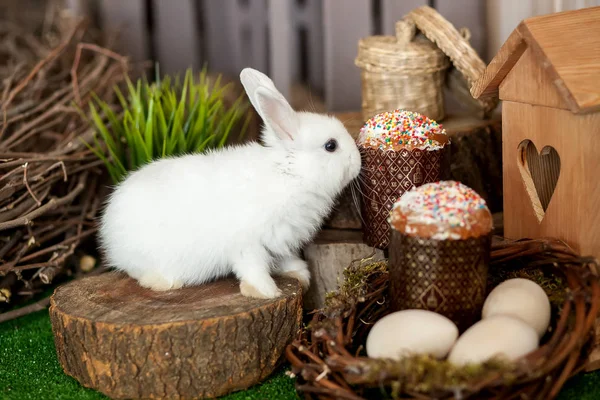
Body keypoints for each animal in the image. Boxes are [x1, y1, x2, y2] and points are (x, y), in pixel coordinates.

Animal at [98, 67, 360, 298]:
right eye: (330, 146)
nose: (358, 161)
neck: (289, 174)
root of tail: (108, 232)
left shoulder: (278, 242)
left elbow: (283, 260)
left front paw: (300, 275)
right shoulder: (248, 245)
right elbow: (254, 269)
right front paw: (266, 292)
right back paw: (163, 282)